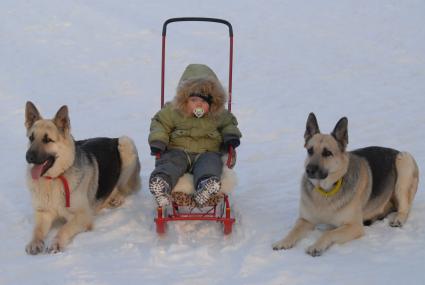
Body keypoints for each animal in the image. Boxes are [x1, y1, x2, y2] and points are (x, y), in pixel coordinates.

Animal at [24, 101, 141, 253]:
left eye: (47, 140)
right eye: (31, 138)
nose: (28, 157)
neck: (56, 177)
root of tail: (112, 139)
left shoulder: (82, 216)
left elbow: (64, 228)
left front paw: (56, 242)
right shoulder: (43, 213)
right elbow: (37, 230)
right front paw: (34, 242)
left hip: (126, 143)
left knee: (126, 188)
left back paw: (116, 198)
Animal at [272, 112, 418, 255]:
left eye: (327, 153)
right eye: (310, 150)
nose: (309, 170)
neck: (325, 191)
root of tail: (395, 150)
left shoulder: (354, 227)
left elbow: (329, 233)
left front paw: (316, 246)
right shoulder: (305, 220)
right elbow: (294, 230)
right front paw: (283, 241)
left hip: (404, 161)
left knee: (405, 208)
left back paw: (398, 219)